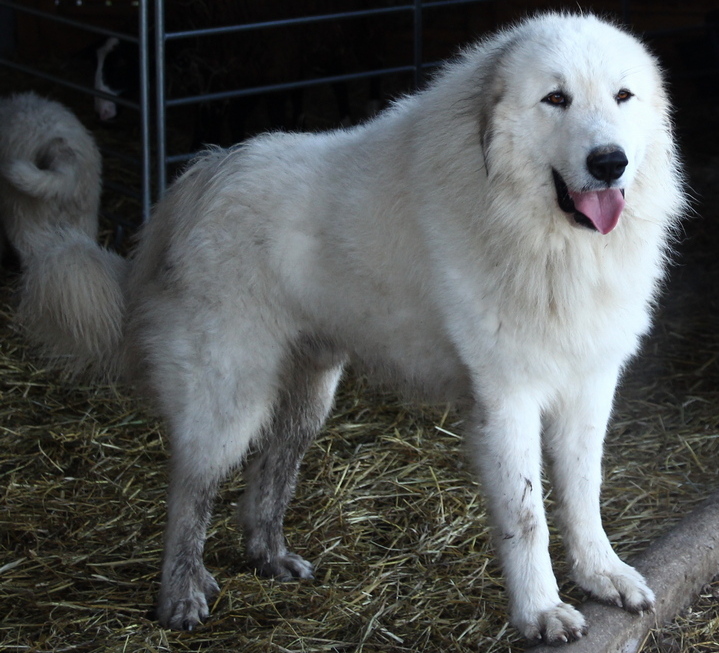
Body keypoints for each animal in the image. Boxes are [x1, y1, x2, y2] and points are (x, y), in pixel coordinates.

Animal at [9, 12, 688, 644]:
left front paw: (603, 575)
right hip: (229, 400)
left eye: (622, 96)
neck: (535, 231)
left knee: (266, 482)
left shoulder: (588, 386)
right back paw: (180, 593)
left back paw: (270, 559)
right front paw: (541, 612)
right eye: (556, 99)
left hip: (310, 397)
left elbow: (583, 495)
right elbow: (528, 518)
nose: (610, 163)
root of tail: (196, 181)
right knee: (189, 494)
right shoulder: (507, 400)